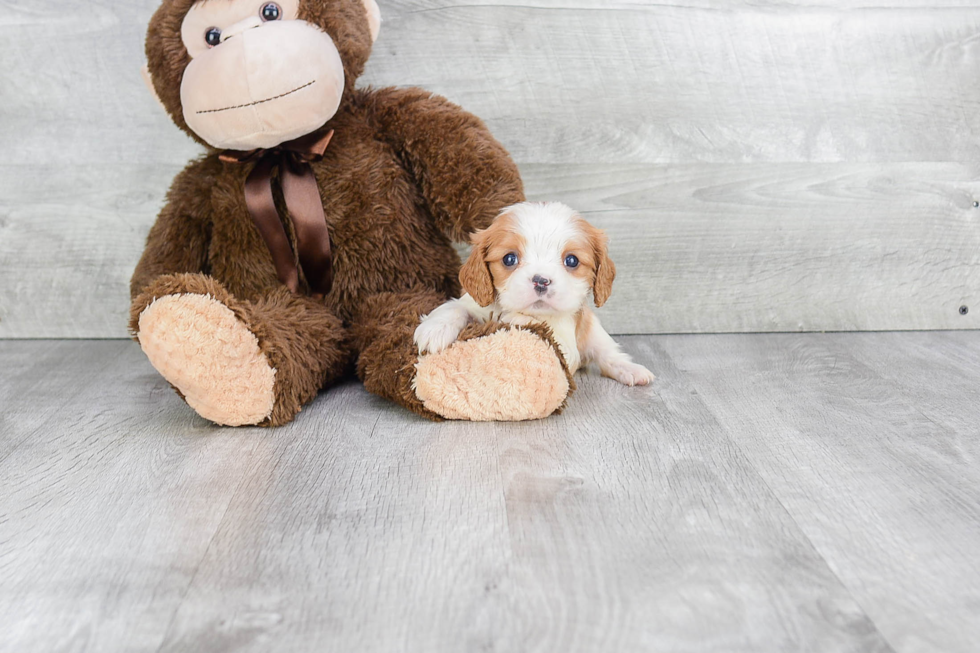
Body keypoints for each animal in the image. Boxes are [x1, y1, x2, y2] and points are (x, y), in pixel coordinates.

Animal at [410, 201, 656, 384]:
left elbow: (538, 325)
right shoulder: (474, 303)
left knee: (608, 355)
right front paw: (435, 329)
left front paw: (511, 316)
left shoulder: (566, 347)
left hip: (595, 332)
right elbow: (454, 307)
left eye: (572, 260)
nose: (541, 281)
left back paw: (631, 370)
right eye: (509, 259)